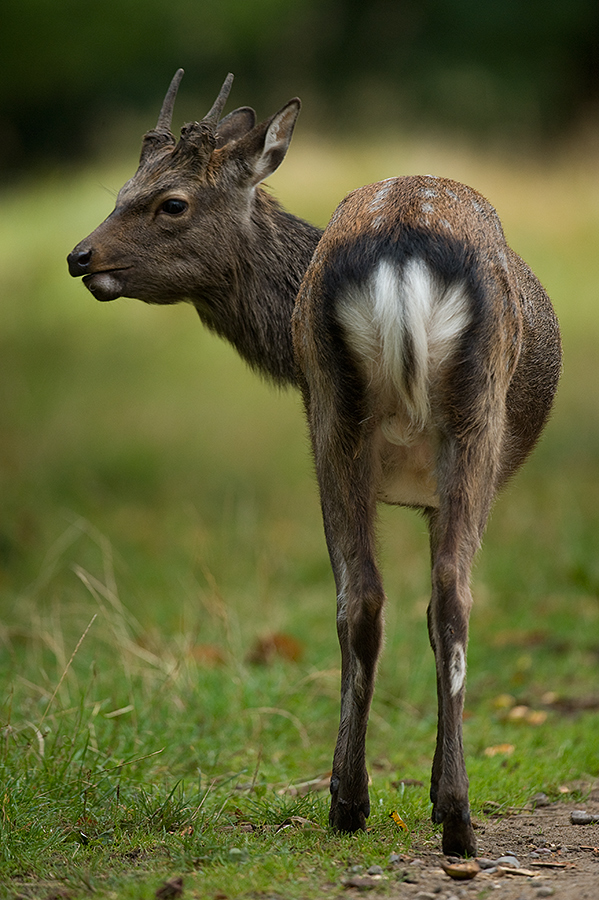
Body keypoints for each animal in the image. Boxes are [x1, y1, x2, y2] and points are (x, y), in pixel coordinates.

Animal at [69, 72, 564, 856]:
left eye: (169, 200)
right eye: (123, 188)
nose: (80, 256)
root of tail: (399, 240)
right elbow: (433, 616)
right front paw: (429, 793)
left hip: (338, 414)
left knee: (368, 596)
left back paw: (368, 800)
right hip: (452, 422)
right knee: (439, 596)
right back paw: (421, 812)